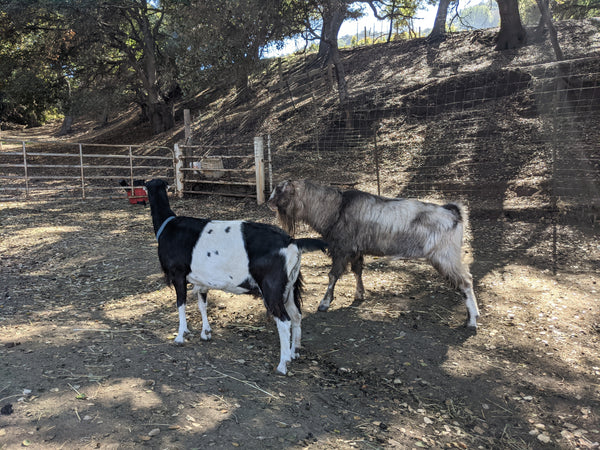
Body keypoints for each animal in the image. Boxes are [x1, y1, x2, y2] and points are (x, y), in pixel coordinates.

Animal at [145, 179, 326, 372]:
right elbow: (202, 305)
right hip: (289, 287)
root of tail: (292, 241)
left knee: (284, 321)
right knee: (297, 315)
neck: (168, 226)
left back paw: (282, 364)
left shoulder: (178, 275)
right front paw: (205, 333)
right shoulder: (202, 281)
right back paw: (294, 352)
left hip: (272, 288)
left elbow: (181, 304)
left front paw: (180, 336)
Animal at [270, 178, 480, 328]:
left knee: (466, 281)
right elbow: (357, 271)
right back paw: (473, 315)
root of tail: (454, 213)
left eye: (280, 190)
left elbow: (332, 275)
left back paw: (472, 321)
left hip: (446, 256)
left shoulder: (342, 249)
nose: (269, 203)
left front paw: (324, 303)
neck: (336, 208)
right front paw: (359, 294)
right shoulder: (355, 250)